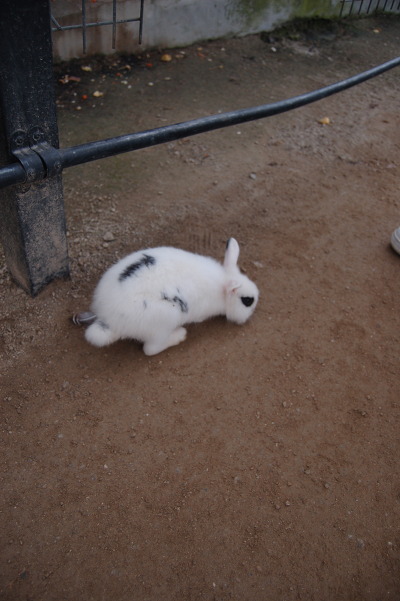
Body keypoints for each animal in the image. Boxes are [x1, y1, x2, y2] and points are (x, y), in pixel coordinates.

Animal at [73, 237, 259, 356]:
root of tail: (109, 319)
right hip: (165, 319)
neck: (221, 287)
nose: (248, 318)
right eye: (247, 301)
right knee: (150, 349)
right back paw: (179, 335)